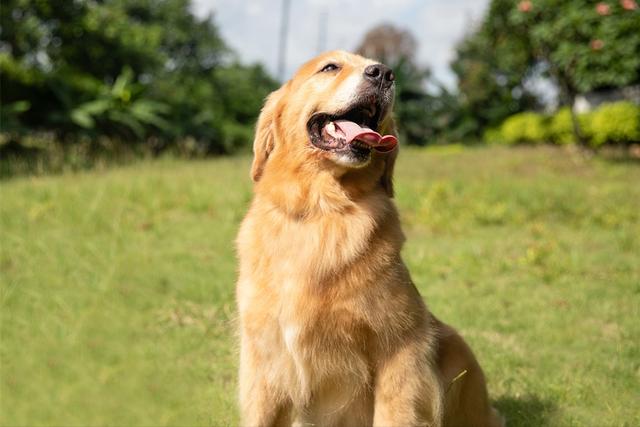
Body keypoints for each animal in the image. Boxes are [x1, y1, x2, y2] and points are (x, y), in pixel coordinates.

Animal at [235, 51, 504, 427]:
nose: (384, 74)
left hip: (458, 348)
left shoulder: (401, 346)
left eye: (376, 65)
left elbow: (393, 414)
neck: (324, 211)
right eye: (330, 67)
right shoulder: (265, 356)